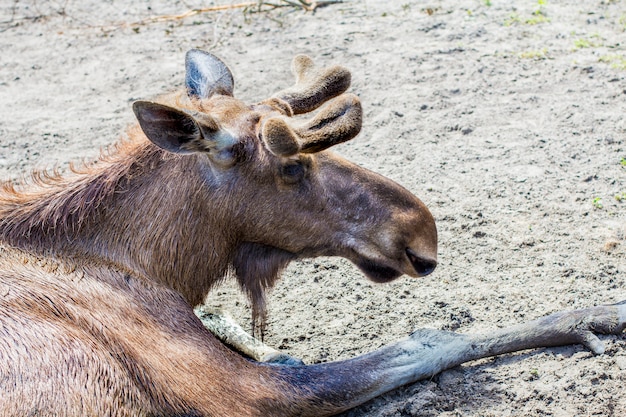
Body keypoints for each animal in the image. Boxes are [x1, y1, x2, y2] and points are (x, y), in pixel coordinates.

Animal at [1, 49, 624, 416]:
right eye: (292, 166)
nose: (420, 231)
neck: (155, 265)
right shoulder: (228, 391)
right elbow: (428, 342)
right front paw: (598, 314)